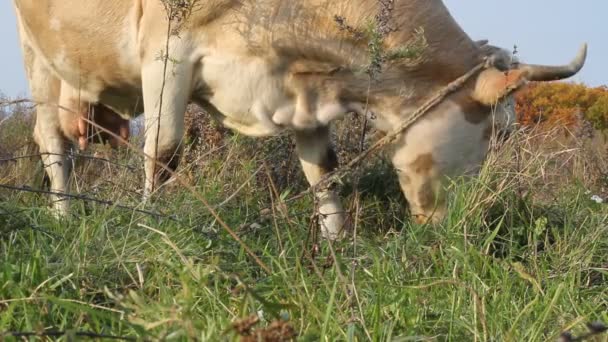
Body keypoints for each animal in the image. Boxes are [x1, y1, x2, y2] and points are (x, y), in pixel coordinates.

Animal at [14, 0, 584, 239]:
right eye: (501, 132)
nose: (458, 225)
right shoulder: (166, 50)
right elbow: (165, 150)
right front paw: (149, 226)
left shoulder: (302, 90)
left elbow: (324, 171)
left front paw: (334, 244)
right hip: (36, 55)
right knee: (51, 141)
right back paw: (63, 215)